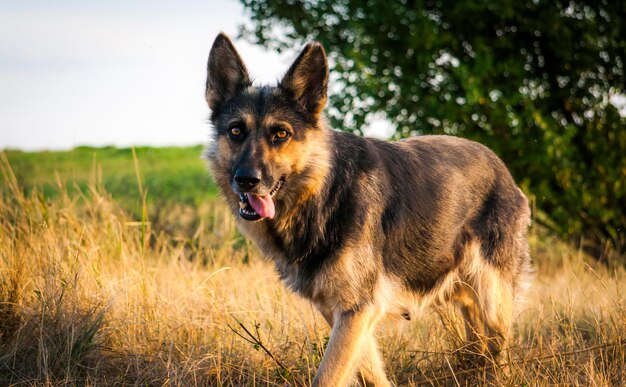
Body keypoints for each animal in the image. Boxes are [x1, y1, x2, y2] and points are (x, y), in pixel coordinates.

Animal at [204, 34, 528, 387]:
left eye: (281, 134)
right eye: (236, 131)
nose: (246, 180)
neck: (323, 192)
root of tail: (502, 168)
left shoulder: (358, 309)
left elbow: (328, 376)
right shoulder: (344, 312)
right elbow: (371, 373)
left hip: (493, 297)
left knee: (499, 351)